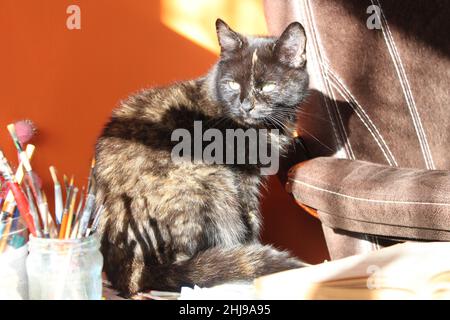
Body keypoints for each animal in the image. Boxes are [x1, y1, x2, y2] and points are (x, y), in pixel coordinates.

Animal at [95, 19, 310, 296]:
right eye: (232, 84)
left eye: (268, 86)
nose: (246, 106)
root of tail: (131, 271)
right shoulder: (243, 180)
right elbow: (250, 221)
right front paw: (252, 248)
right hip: (209, 178)